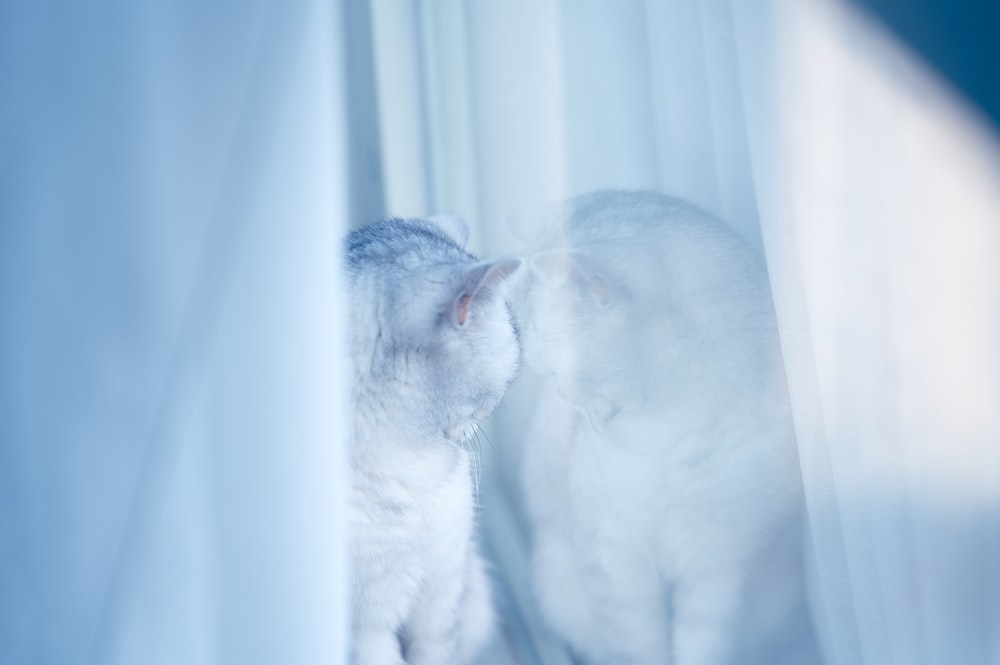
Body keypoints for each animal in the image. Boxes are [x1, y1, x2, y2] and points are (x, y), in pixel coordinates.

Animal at [508, 191, 812, 664]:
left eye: (558, 375)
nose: (569, 407)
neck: (670, 430)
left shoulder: (720, 567)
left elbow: (702, 646)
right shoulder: (614, 562)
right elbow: (640, 646)